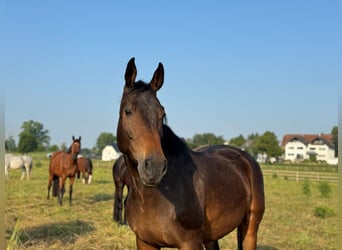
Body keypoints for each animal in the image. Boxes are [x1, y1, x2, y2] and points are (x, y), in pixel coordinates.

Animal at [116, 57, 266, 249]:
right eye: (128, 111)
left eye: (162, 113)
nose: (155, 167)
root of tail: (246, 159)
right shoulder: (144, 242)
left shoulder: (190, 242)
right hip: (211, 237)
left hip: (250, 228)